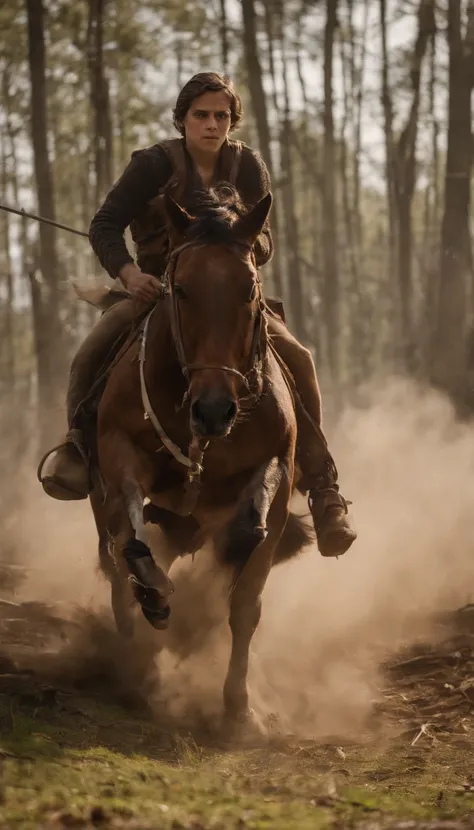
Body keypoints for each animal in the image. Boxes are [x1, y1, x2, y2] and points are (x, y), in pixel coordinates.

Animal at [93, 187, 314, 728]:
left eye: (249, 290)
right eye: (181, 289)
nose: (213, 410)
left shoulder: (277, 475)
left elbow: (247, 591)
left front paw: (239, 709)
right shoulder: (118, 450)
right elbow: (130, 535)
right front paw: (151, 593)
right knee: (115, 562)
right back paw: (134, 657)